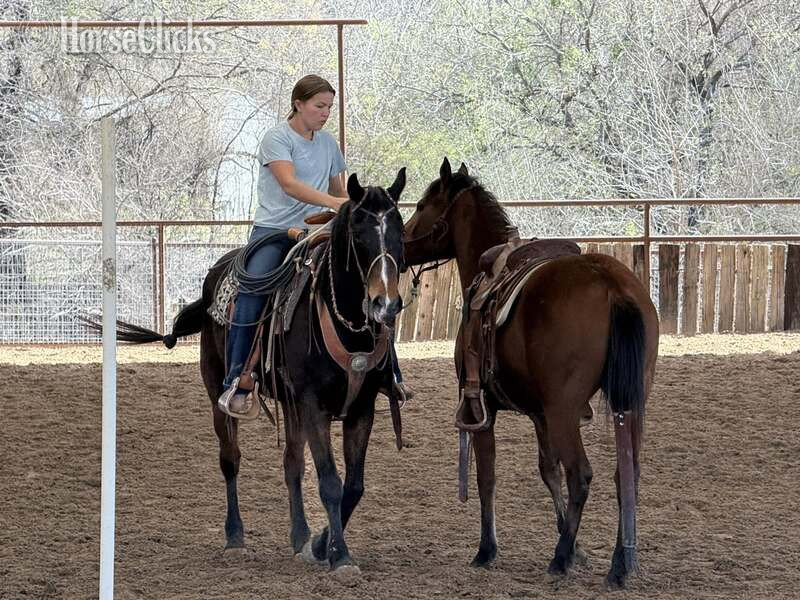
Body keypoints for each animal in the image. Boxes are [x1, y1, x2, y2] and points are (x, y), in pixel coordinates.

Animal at [97, 170, 407, 574]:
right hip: (218, 389)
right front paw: (339, 555)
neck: (345, 324)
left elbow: (352, 485)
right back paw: (235, 538)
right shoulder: (313, 405)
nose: (385, 304)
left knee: (292, 464)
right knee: (230, 460)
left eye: (400, 230)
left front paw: (321, 544)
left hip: (290, 404)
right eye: (359, 234)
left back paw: (300, 537)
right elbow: (330, 481)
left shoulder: (360, 407)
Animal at [402, 158, 659, 588]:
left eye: (422, 205)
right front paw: (580, 547)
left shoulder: (481, 407)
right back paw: (619, 565)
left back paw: (560, 559)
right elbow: (547, 471)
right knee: (628, 474)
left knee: (581, 474)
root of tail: (612, 285)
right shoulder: (539, 414)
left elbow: (487, 476)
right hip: (628, 400)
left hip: (565, 409)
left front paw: (487, 549)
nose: (401, 243)